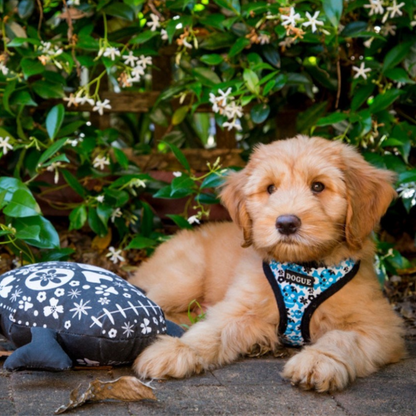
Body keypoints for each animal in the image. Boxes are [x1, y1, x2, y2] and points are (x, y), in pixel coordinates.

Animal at [129, 135, 405, 392]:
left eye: (318, 186)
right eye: (270, 188)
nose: (286, 223)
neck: (303, 268)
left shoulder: (379, 325)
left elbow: (340, 338)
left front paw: (317, 361)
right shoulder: (240, 306)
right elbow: (211, 330)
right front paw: (179, 349)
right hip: (183, 279)